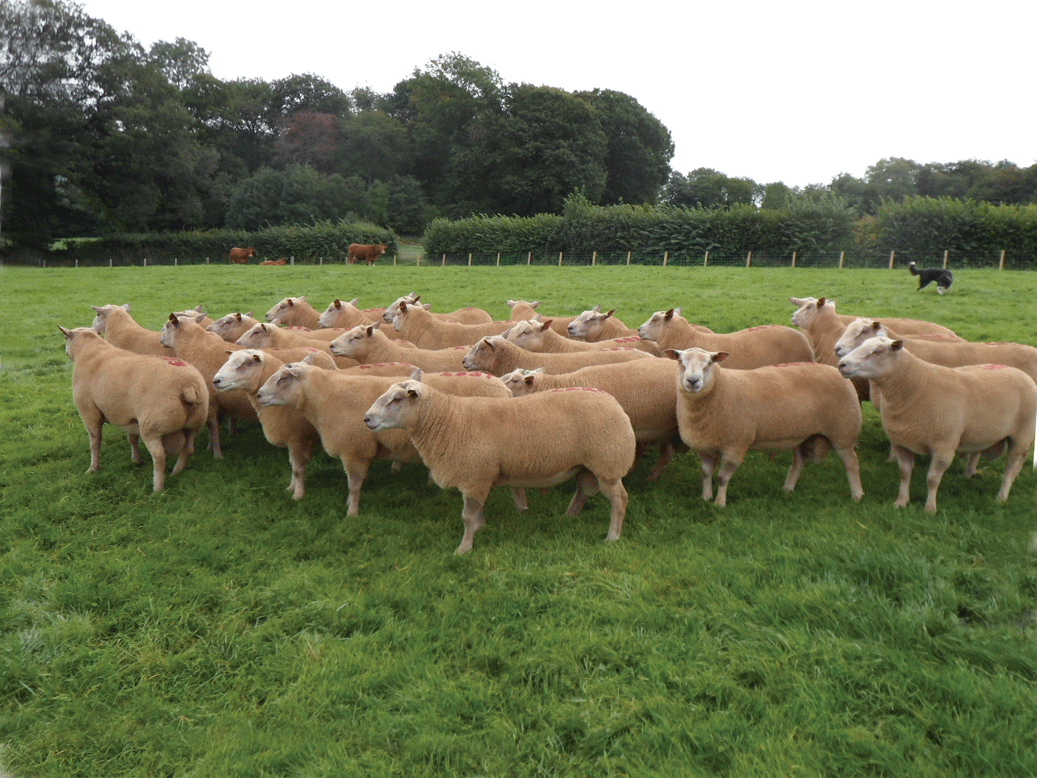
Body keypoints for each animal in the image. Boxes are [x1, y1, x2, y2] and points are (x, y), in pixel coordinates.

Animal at [59, 325, 209, 492]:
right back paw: (175, 472)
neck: (89, 351)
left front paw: (93, 469)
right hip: (195, 424)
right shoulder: (129, 416)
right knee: (188, 450)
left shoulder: (89, 412)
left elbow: (95, 442)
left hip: (152, 426)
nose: (65, 352)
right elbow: (132, 438)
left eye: (65, 338)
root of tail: (188, 386)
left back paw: (157, 489)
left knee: (159, 457)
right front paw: (136, 459)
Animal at [255, 363, 513, 516]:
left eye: (283, 378)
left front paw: (352, 513)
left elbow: (354, 485)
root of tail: (503, 387)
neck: (326, 397)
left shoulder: (355, 450)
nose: (259, 395)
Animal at [363, 378, 637, 554]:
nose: (366, 418)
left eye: (397, 399)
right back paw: (569, 517)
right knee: (583, 491)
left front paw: (464, 549)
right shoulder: (478, 476)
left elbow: (467, 516)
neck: (449, 421)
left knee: (619, 499)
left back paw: (612, 537)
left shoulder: (474, 476)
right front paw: (481, 529)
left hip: (608, 463)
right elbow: (475, 512)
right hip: (585, 465)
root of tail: (613, 401)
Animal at [670, 347, 864, 507]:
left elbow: (722, 478)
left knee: (851, 463)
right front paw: (705, 498)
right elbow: (705, 474)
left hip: (844, 432)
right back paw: (787, 489)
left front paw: (719, 503)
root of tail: (837, 372)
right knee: (799, 462)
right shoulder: (704, 447)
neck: (720, 386)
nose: (692, 381)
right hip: (801, 433)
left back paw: (857, 495)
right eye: (681, 362)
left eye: (709, 363)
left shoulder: (736, 444)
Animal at [837, 335, 1037, 512]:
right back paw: (967, 475)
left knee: (1011, 467)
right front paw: (901, 502)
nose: (842, 364)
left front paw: (930, 509)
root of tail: (1021, 374)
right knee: (979, 453)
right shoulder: (902, 443)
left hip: (1022, 435)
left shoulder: (943, 447)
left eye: (878, 351)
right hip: (983, 432)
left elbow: (932, 479)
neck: (914, 387)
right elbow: (904, 474)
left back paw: (1001, 497)